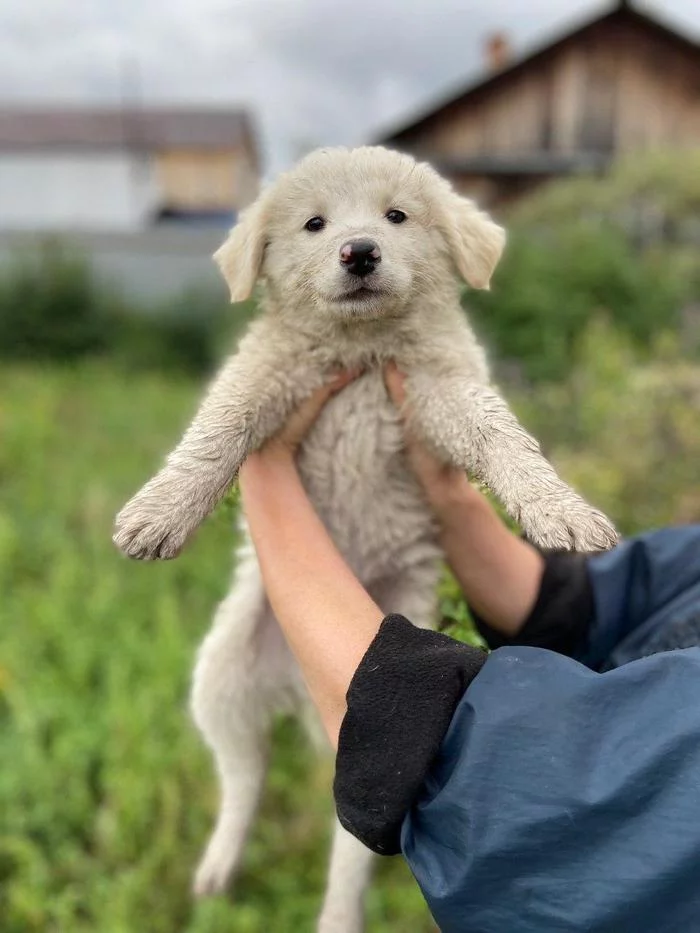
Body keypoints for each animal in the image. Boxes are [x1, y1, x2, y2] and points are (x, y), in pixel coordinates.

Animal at [115, 146, 616, 932]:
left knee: (342, 844)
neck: (361, 349)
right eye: (315, 224)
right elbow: (216, 430)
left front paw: (556, 507)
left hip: (356, 730)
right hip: (221, 678)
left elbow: (498, 435)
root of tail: (299, 686)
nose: (359, 251)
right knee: (244, 777)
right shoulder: (265, 376)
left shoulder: (440, 390)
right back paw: (221, 864)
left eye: (396, 216)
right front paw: (161, 509)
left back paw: (334, 915)